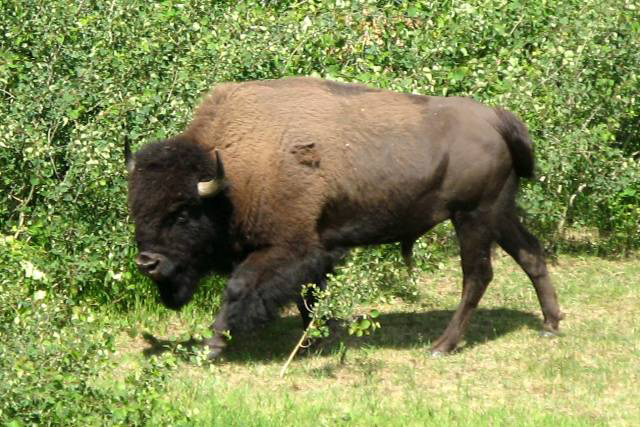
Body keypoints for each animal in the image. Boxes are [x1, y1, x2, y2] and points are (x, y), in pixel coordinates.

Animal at [125, 77, 563, 359]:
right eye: (136, 208)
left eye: (183, 212)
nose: (147, 262)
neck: (233, 171)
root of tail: (495, 118)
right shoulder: (316, 251)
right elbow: (309, 296)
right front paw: (317, 338)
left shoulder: (291, 246)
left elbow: (240, 287)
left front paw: (213, 345)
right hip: (499, 213)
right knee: (531, 254)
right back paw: (550, 324)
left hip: (472, 216)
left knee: (478, 275)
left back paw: (442, 346)